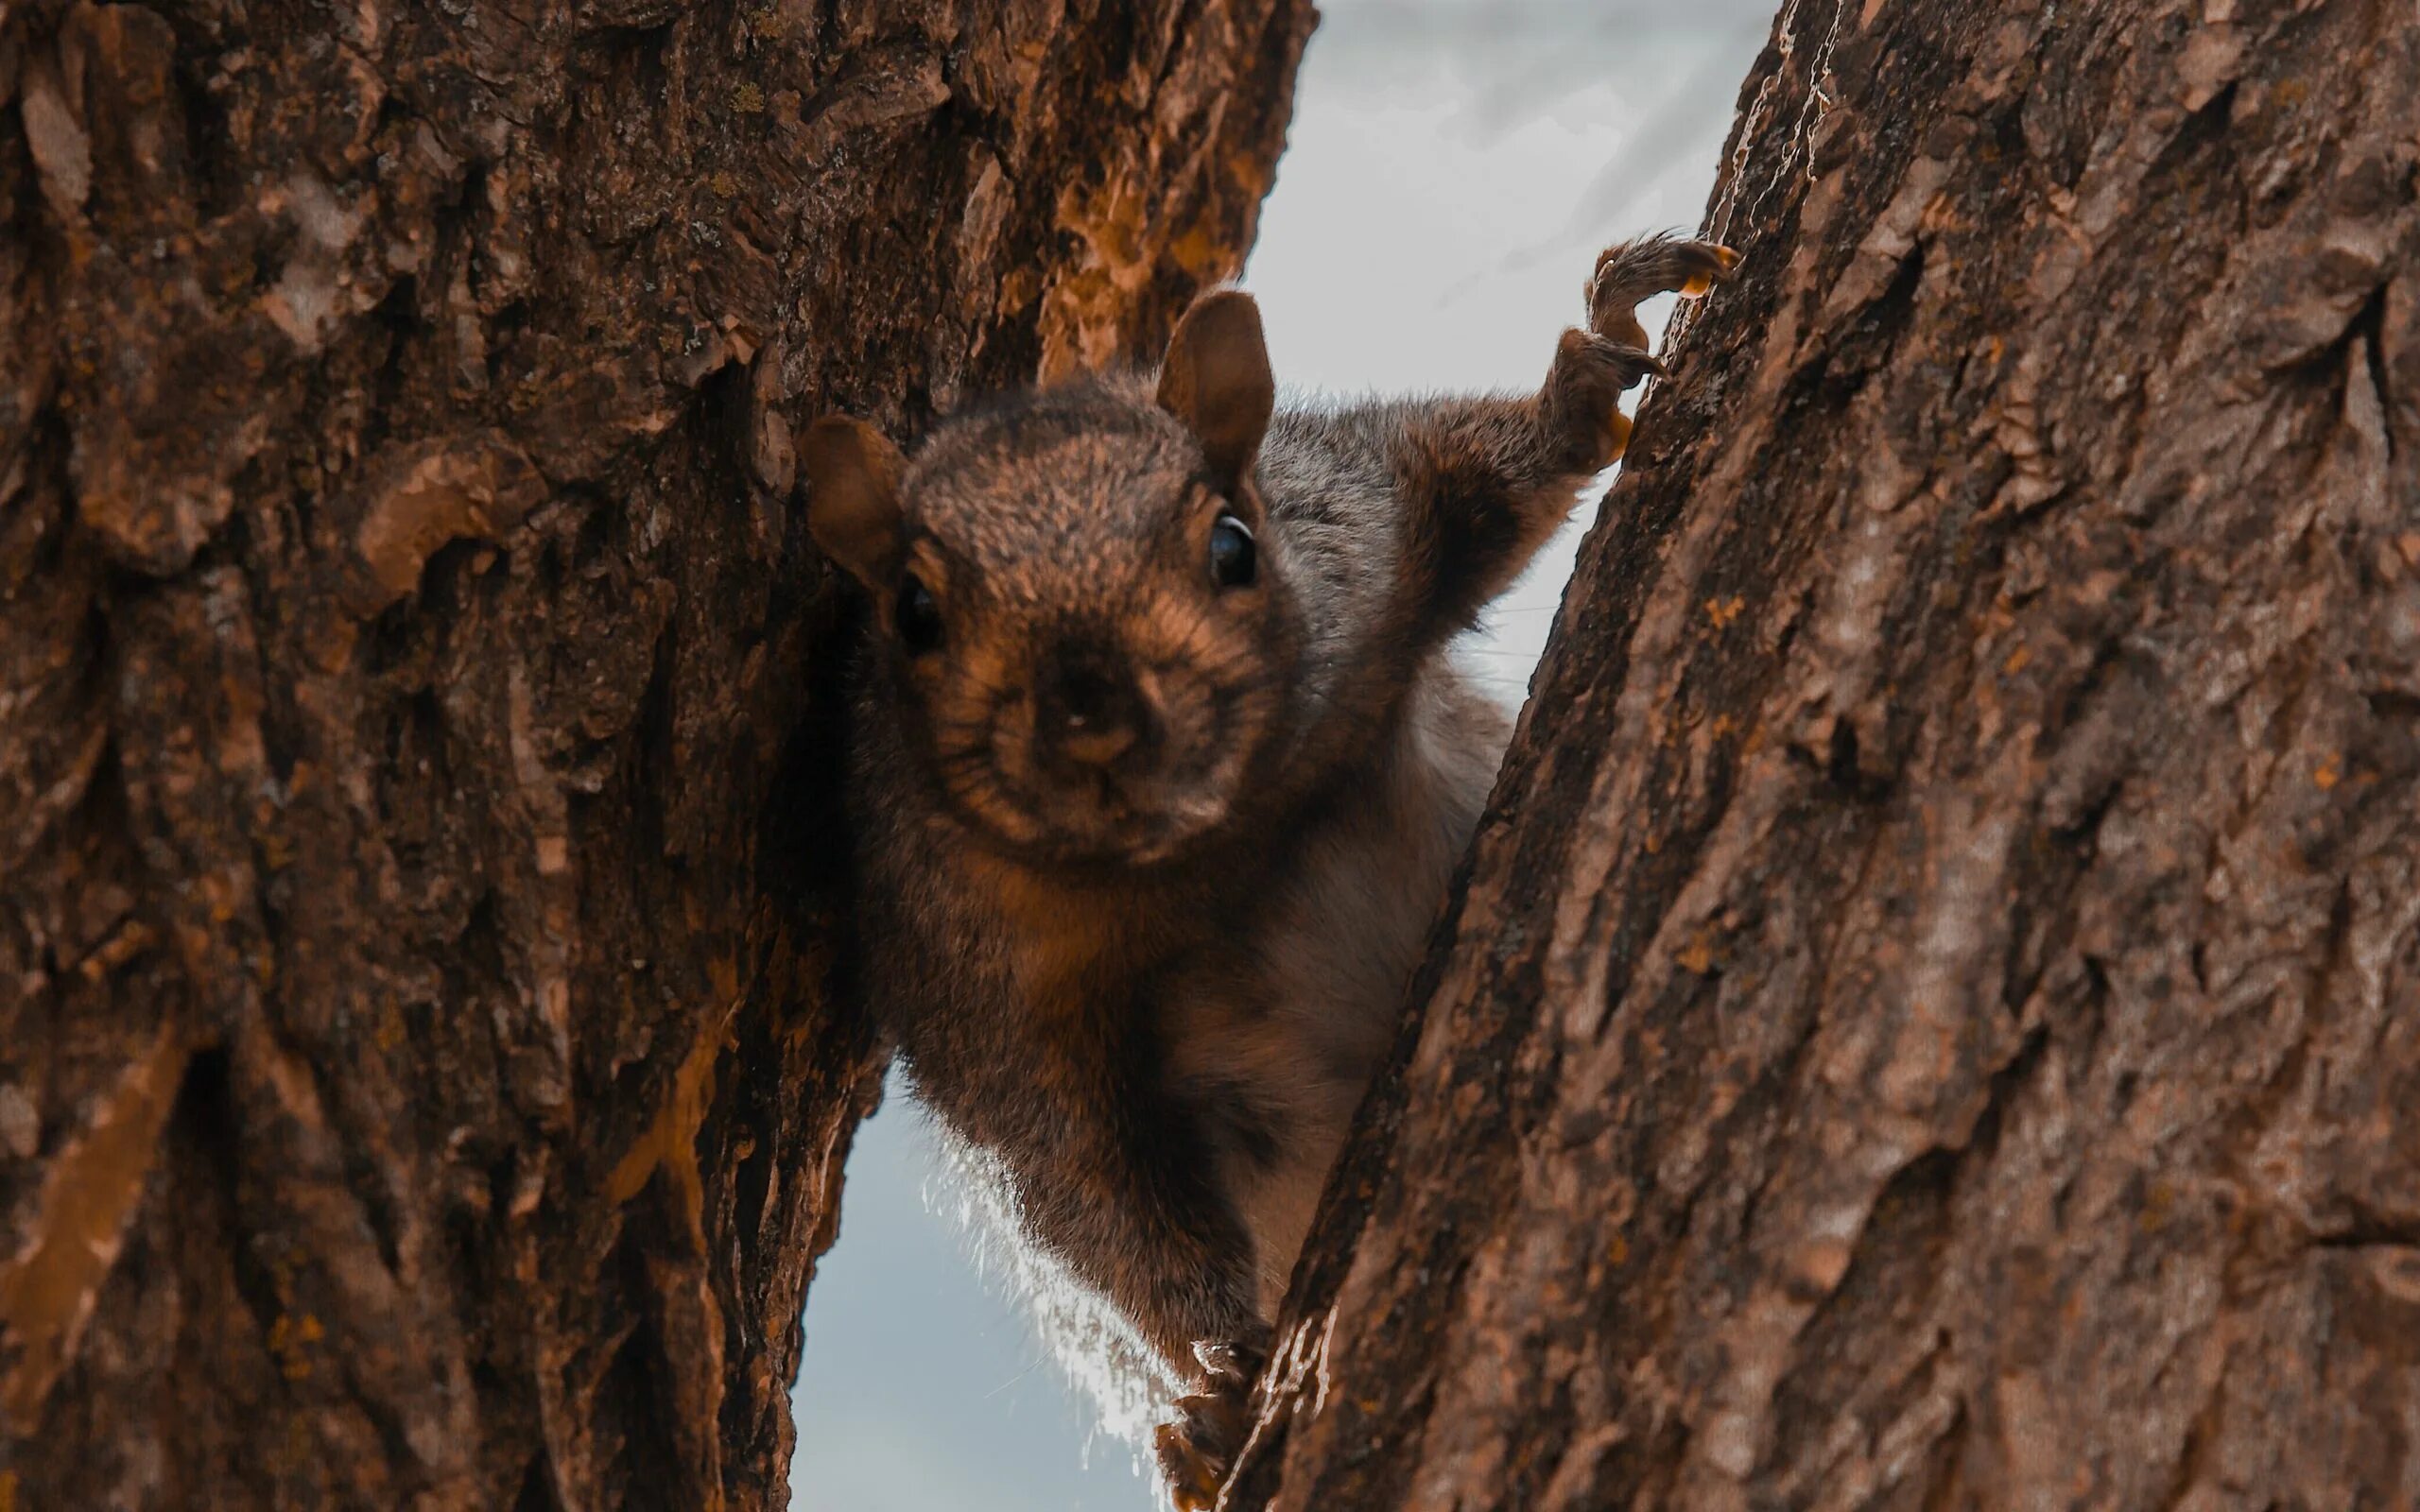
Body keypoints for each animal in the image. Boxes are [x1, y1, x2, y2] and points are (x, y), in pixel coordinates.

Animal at [803, 230, 1732, 1500]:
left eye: (1231, 544)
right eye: (912, 612)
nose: (1093, 719)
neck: (1217, 849)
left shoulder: (1363, 522)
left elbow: (1485, 474)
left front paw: (1591, 363)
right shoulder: (982, 1000)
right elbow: (1087, 1193)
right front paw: (1216, 1371)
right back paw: (1189, 1443)